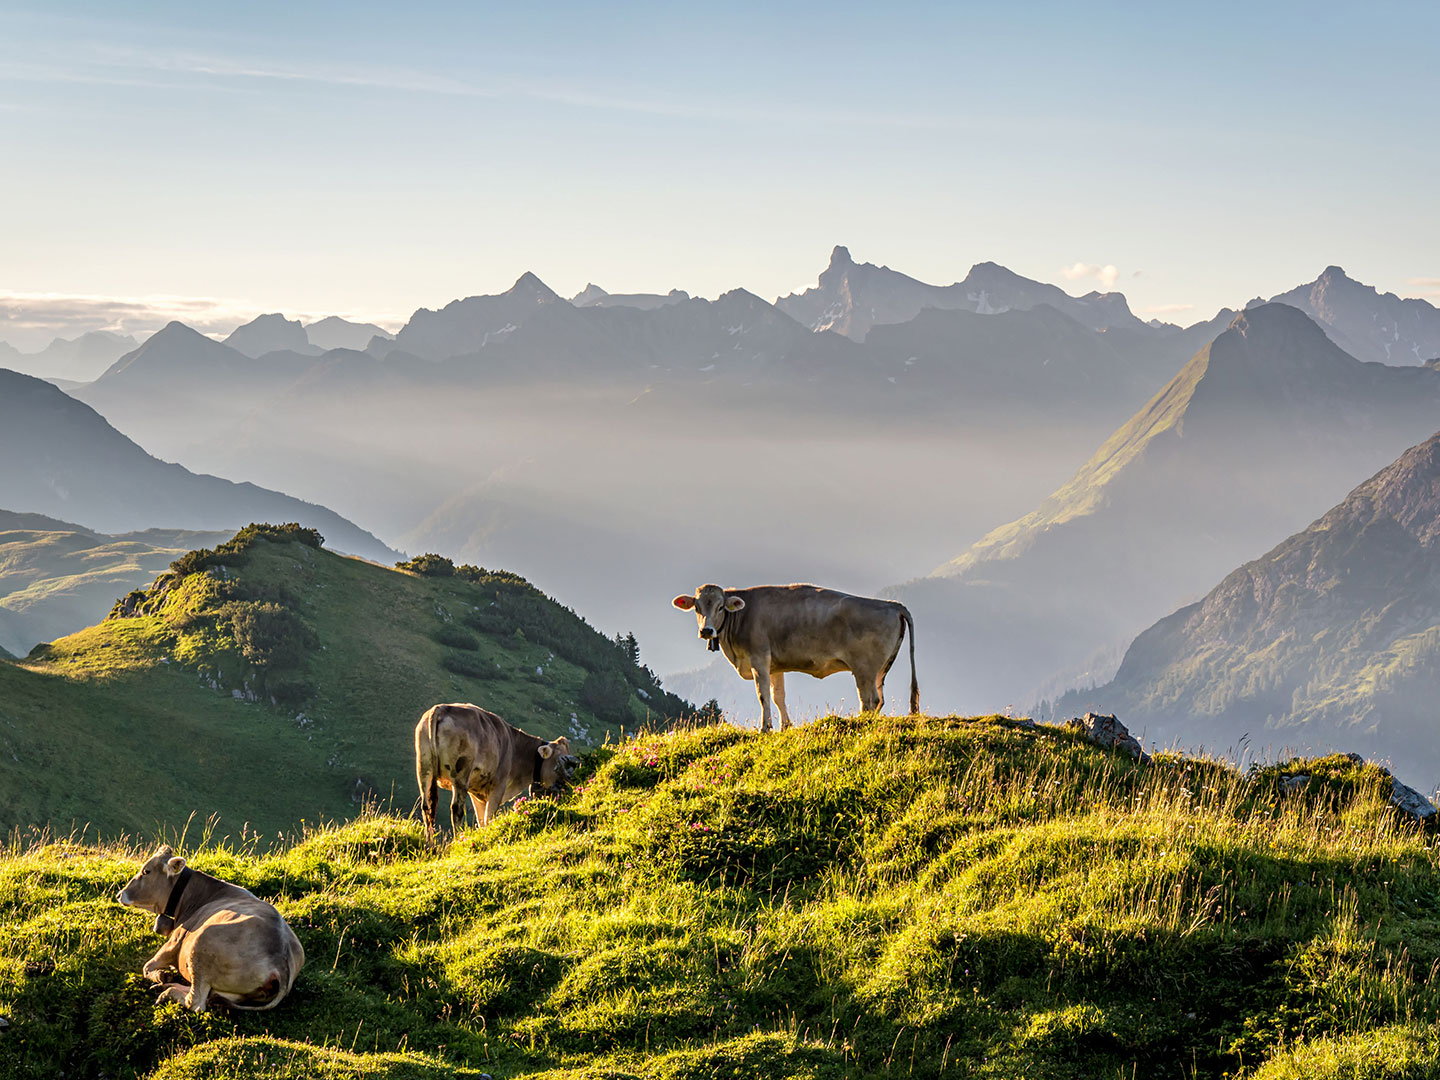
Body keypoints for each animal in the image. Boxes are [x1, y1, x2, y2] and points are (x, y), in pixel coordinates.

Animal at [116, 845, 304, 1012]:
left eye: (146, 871)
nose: (119, 894)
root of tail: (281, 959)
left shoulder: (174, 943)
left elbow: (147, 967)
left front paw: (161, 974)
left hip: (200, 945)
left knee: (196, 1001)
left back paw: (167, 991)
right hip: (235, 991)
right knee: (209, 995)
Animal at [415, 702, 581, 838]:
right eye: (559, 762)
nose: (564, 786)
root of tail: (440, 709)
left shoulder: (476, 792)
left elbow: (481, 820)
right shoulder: (498, 784)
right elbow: (489, 817)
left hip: (424, 768)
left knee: (427, 807)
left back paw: (430, 847)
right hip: (460, 773)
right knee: (456, 809)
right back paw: (456, 842)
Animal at [672, 583, 918, 732]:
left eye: (721, 607)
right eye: (697, 607)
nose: (707, 631)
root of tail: (892, 604)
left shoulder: (759, 659)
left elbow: (763, 695)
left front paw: (765, 728)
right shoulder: (774, 666)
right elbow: (778, 696)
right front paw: (785, 726)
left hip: (864, 667)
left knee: (870, 700)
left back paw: (861, 723)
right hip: (880, 668)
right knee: (879, 698)